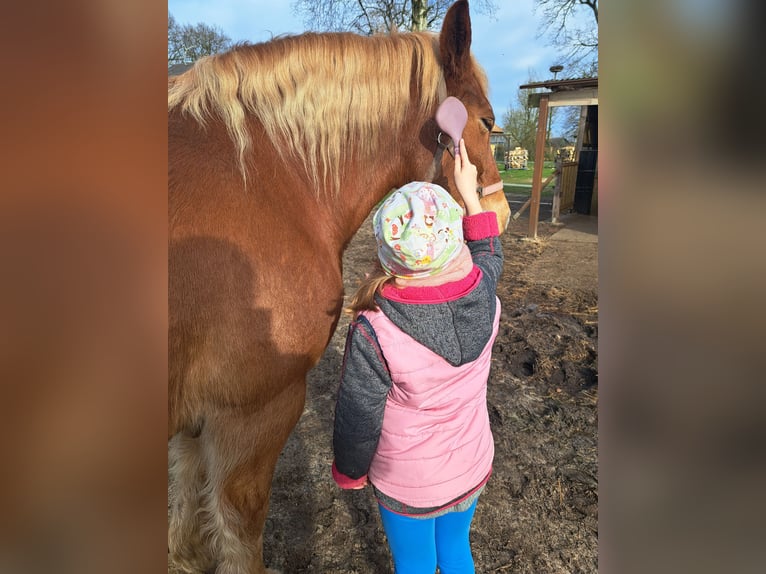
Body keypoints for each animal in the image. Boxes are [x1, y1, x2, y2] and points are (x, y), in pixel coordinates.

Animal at [170, 2, 512, 572]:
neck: (268, 179)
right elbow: (238, 532)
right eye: (486, 121)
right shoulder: (252, 414)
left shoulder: (194, 429)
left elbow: (186, 532)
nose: (502, 215)